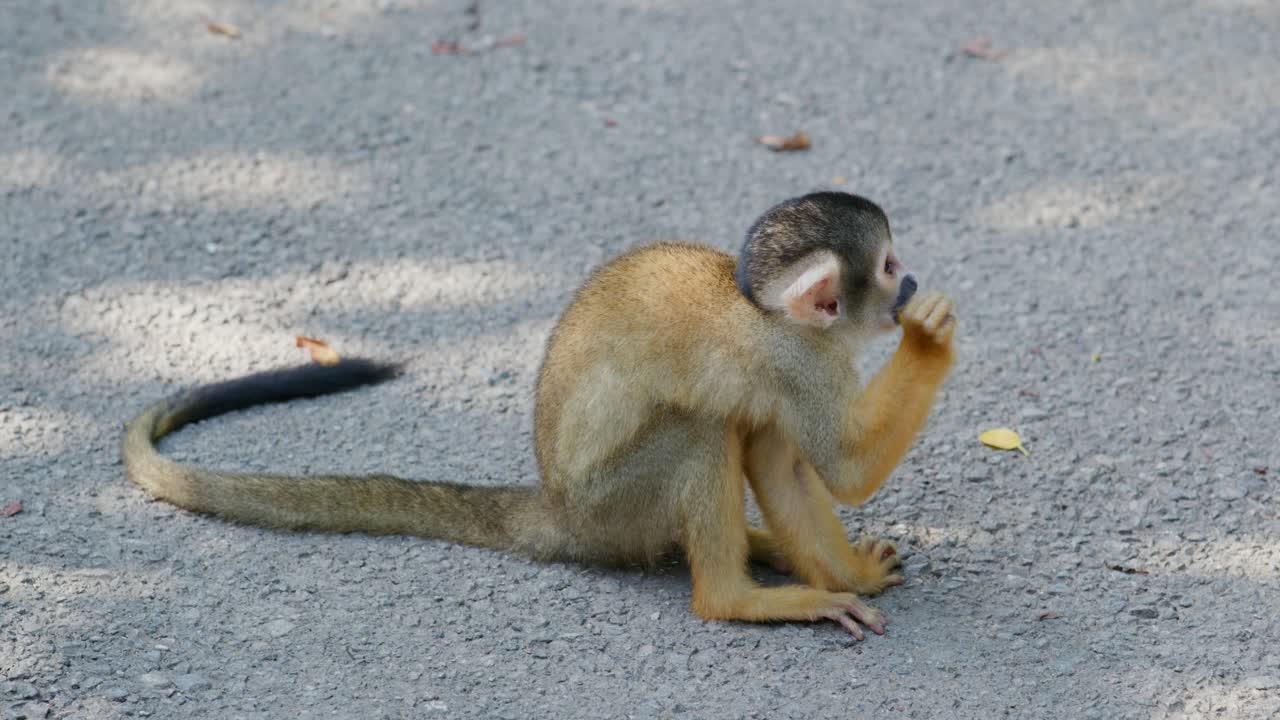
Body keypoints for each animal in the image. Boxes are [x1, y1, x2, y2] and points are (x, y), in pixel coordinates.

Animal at [123, 191, 956, 640]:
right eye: (886, 267)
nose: (911, 281)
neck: (770, 315)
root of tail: (557, 508)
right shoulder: (796, 361)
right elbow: (842, 469)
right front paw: (927, 338)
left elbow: (784, 465)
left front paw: (853, 575)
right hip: (611, 504)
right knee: (699, 431)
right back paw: (735, 597)